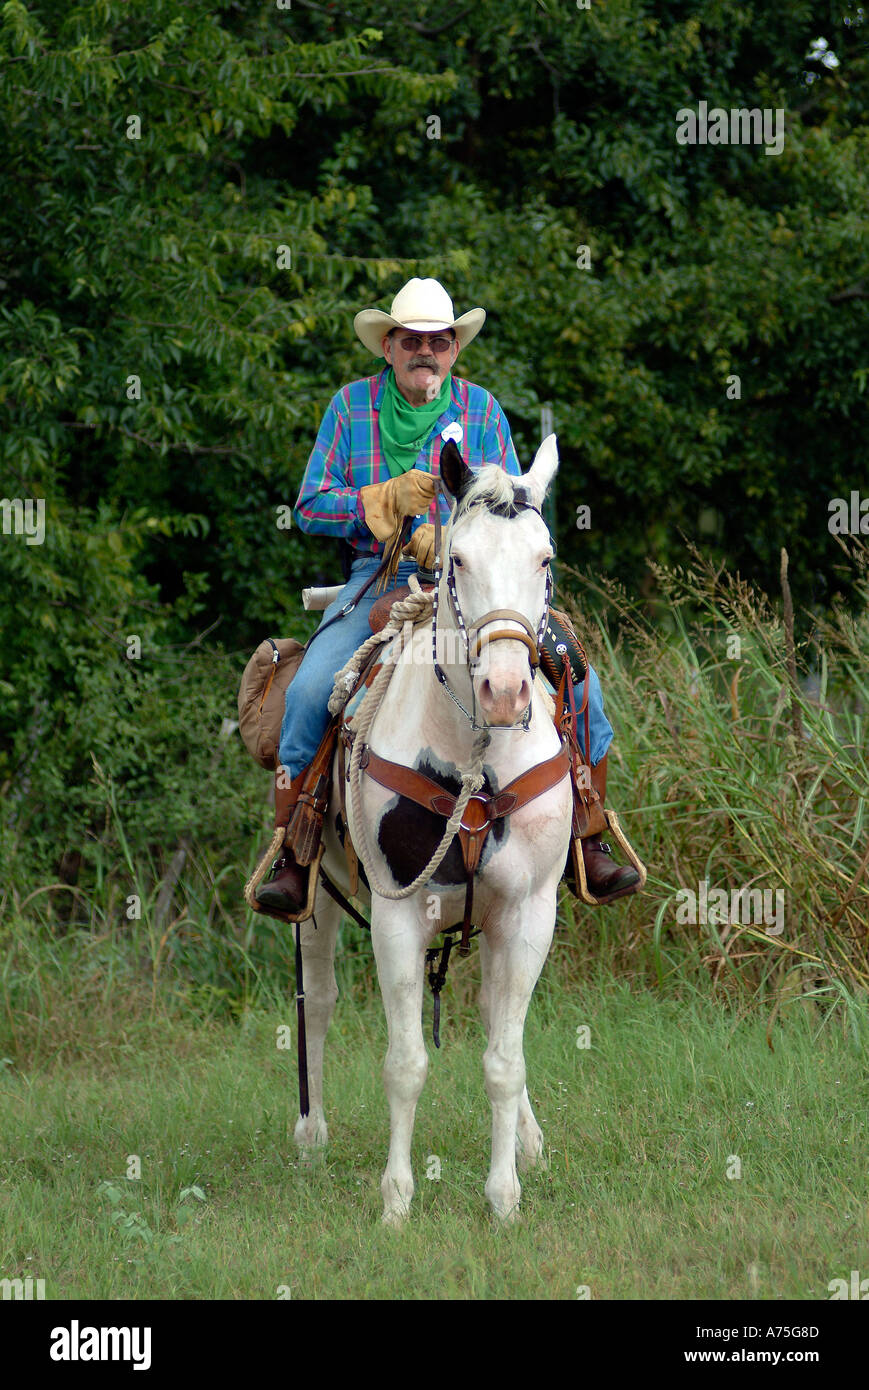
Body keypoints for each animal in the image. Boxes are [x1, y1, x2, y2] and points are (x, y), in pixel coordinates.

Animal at [291, 434, 573, 1224]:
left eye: (544, 559)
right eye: (458, 561)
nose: (505, 691)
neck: (475, 760)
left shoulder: (529, 910)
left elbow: (505, 1058)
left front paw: (504, 1196)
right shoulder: (397, 912)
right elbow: (406, 1063)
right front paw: (396, 1200)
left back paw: (531, 1142)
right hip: (315, 896)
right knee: (316, 998)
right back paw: (310, 1135)